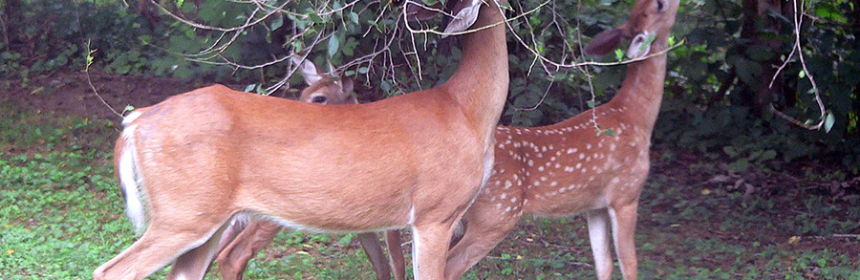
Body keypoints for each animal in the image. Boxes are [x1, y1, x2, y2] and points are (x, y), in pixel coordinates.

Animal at [92, 0, 510, 278]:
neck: (467, 112)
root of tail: (137, 120)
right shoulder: (434, 212)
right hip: (183, 213)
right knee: (111, 271)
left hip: (204, 218)